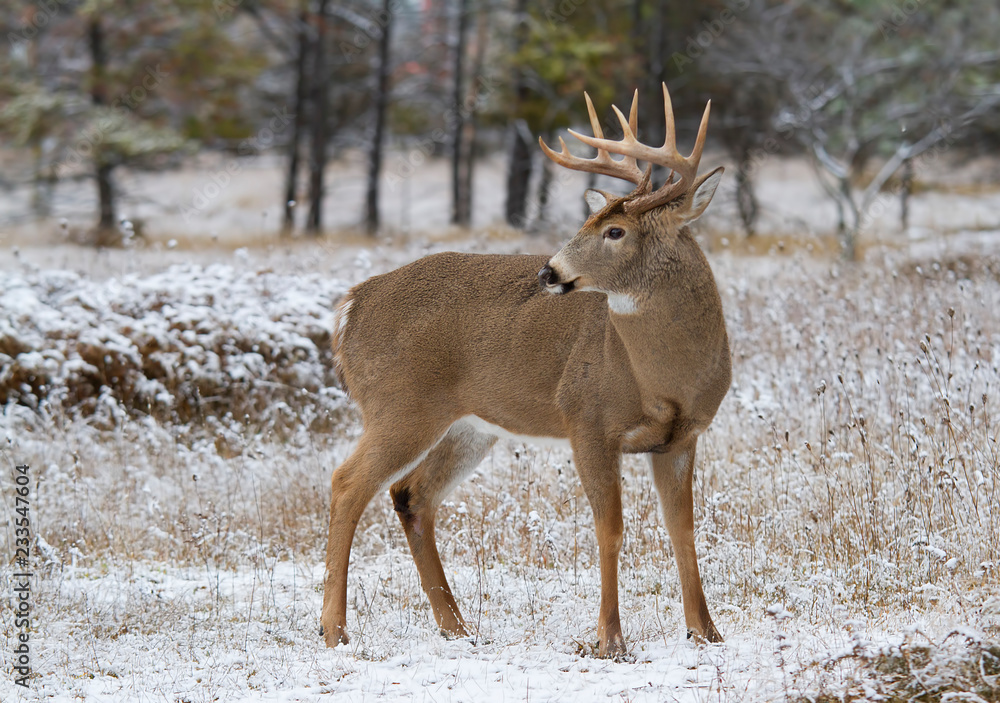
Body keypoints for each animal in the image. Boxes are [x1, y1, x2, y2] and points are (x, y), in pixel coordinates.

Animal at [321, 83, 731, 658]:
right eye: (587, 224)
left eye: (615, 230)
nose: (549, 272)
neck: (663, 380)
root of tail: (351, 305)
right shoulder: (587, 419)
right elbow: (611, 530)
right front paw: (609, 639)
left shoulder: (682, 437)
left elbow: (683, 531)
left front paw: (706, 632)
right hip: (399, 406)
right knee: (347, 484)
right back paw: (334, 629)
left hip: (467, 426)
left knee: (411, 495)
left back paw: (457, 627)